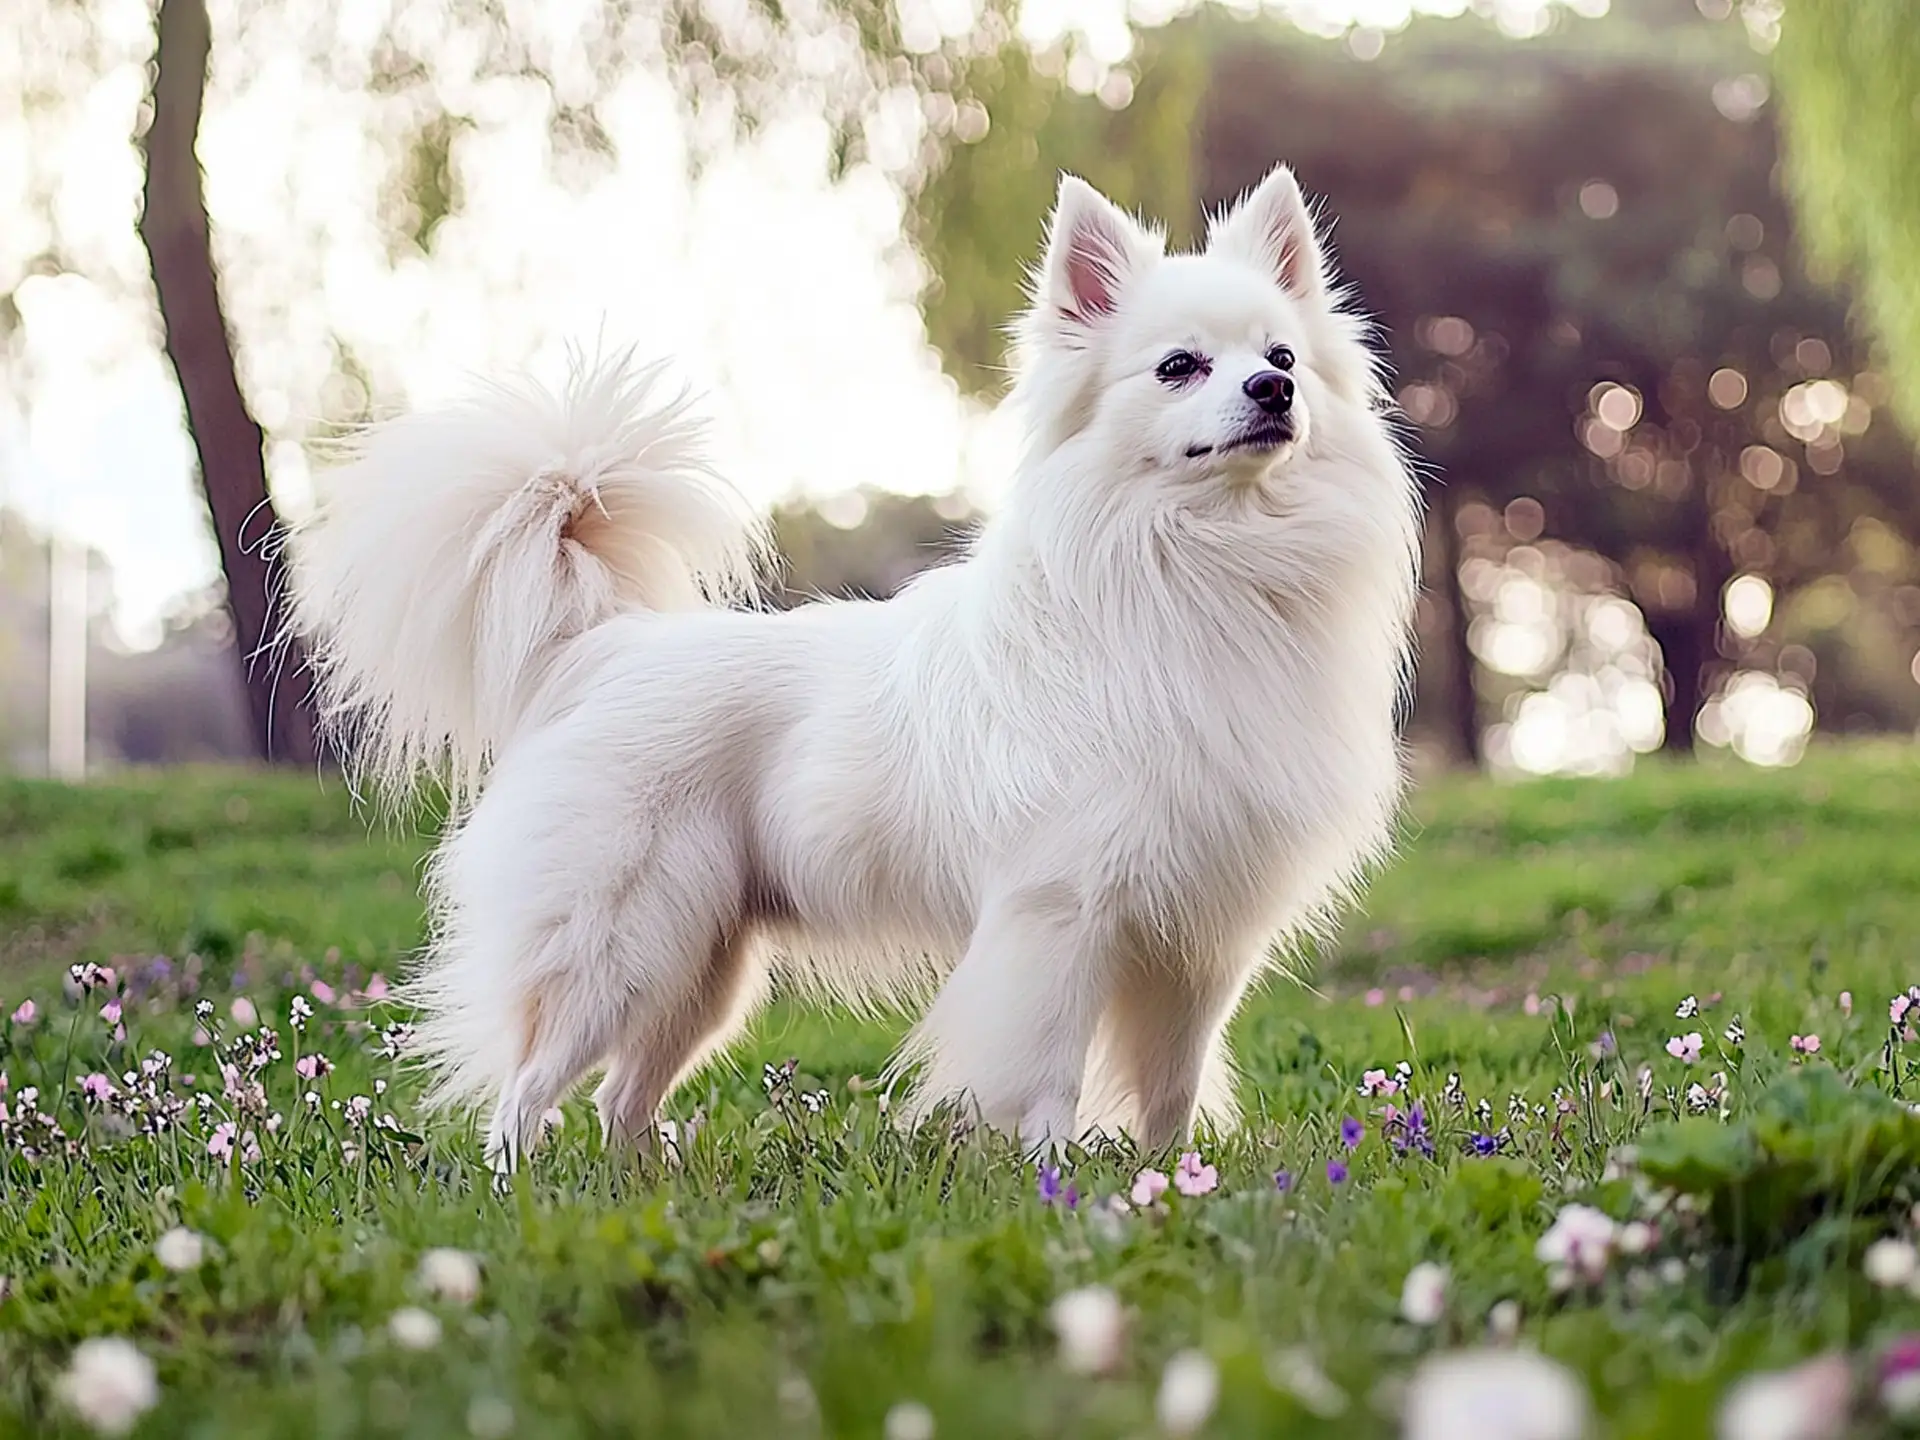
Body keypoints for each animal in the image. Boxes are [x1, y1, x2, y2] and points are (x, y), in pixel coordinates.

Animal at [288, 166, 1428, 1175]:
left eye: (1280, 353)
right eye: (1180, 367)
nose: (1273, 389)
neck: (1204, 563)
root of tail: (601, 646)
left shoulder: (1195, 948)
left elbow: (1169, 1091)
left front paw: (1171, 1183)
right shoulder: (1060, 918)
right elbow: (1046, 1078)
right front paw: (1057, 1187)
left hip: (700, 968)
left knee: (621, 1099)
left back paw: (641, 1188)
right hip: (621, 945)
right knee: (528, 1090)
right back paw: (519, 1191)